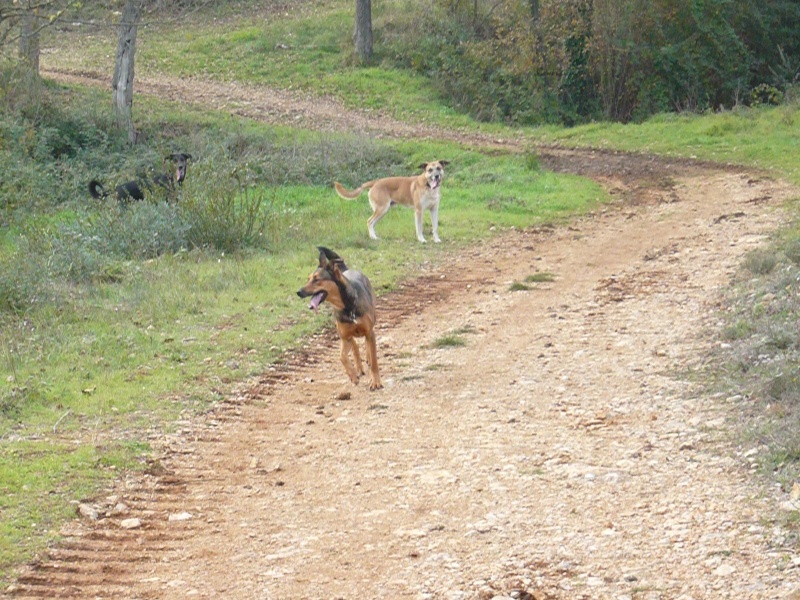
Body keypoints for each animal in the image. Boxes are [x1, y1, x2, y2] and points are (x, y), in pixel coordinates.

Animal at [298, 246, 382, 392]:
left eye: (316, 279)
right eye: (308, 279)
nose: (298, 292)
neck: (347, 307)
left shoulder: (369, 332)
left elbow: (374, 360)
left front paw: (376, 382)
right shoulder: (344, 337)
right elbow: (342, 356)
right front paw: (353, 376)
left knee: (368, 346)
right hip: (346, 334)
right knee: (354, 346)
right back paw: (358, 368)